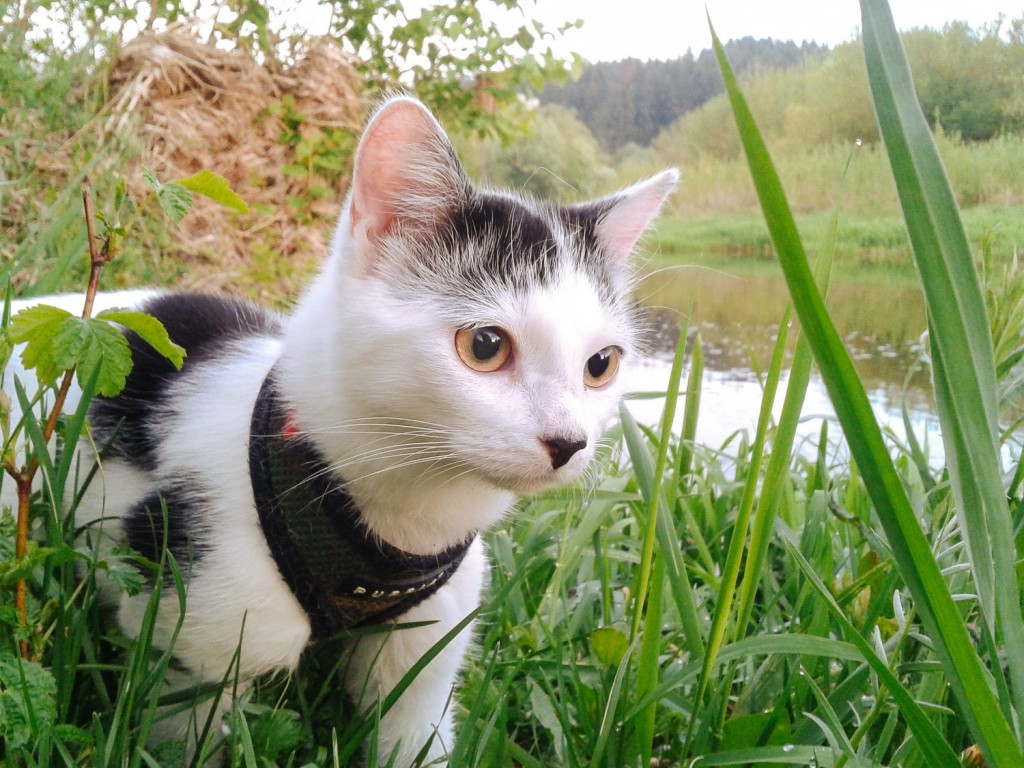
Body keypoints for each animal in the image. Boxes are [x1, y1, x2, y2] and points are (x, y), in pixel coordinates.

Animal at [16, 96, 675, 765]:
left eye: (601, 365)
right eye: (485, 346)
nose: (568, 443)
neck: (401, 527)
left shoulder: (425, 658)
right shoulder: (190, 641)